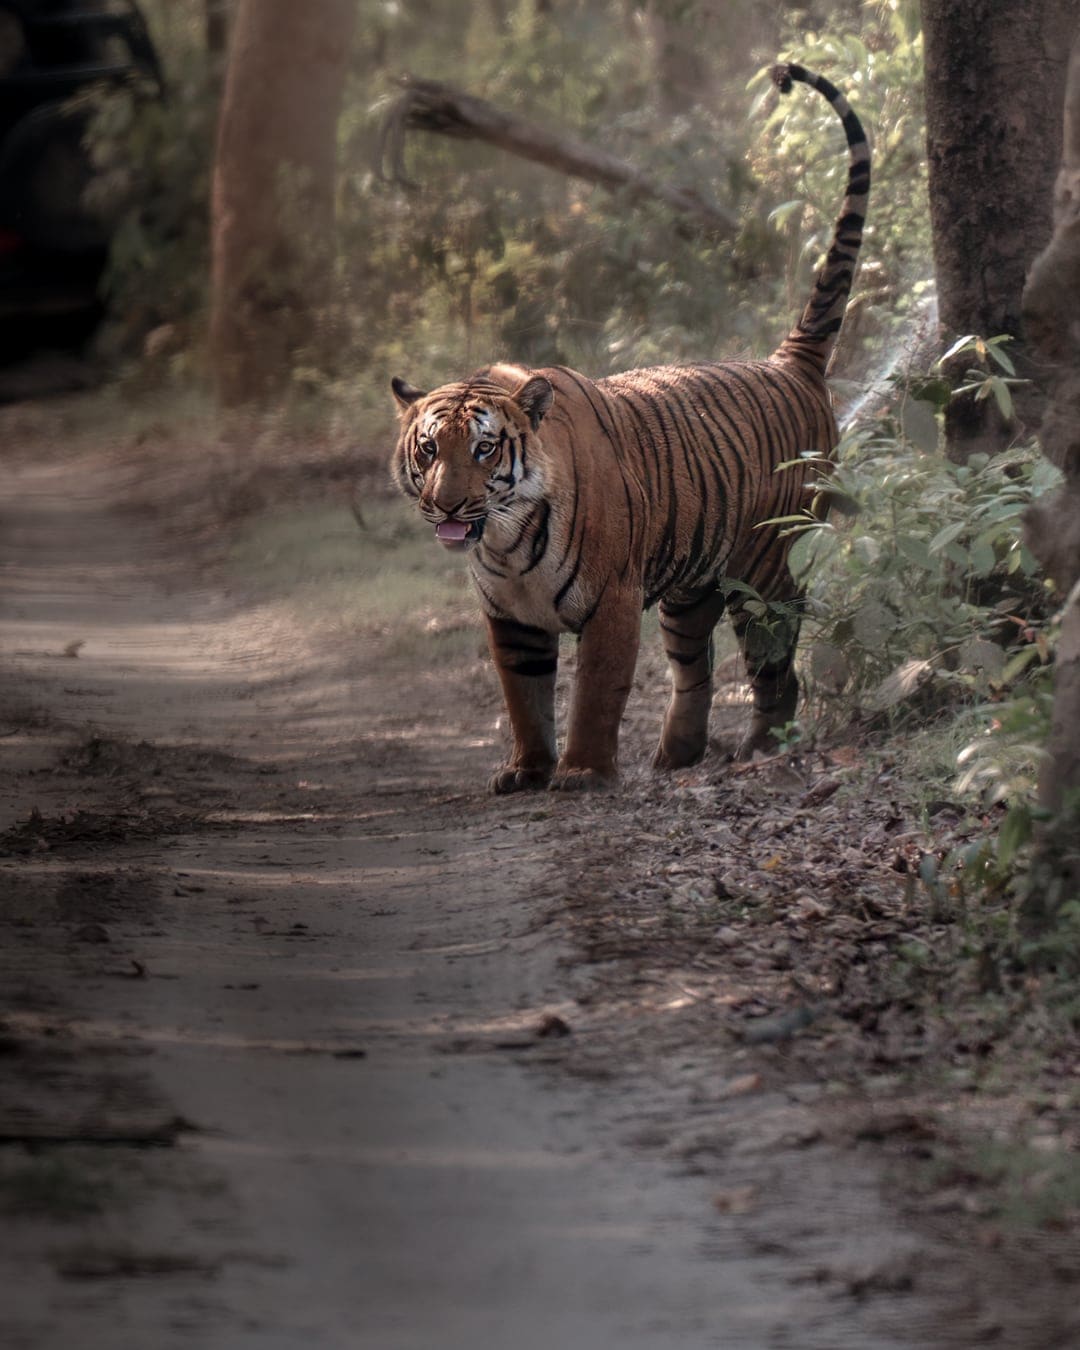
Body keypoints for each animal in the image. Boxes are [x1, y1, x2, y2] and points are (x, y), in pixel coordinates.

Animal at [390, 63, 870, 793]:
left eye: (483, 449)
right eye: (428, 450)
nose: (446, 505)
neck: (503, 539)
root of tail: (789, 362)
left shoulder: (612, 599)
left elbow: (595, 689)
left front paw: (583, 771)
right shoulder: (509, 619)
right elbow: (523, 696)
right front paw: (526, 769)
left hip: (765, 568)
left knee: (774, 663)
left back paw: (763, 746)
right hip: (691, 589)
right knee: (695, 670)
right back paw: (676, 755)